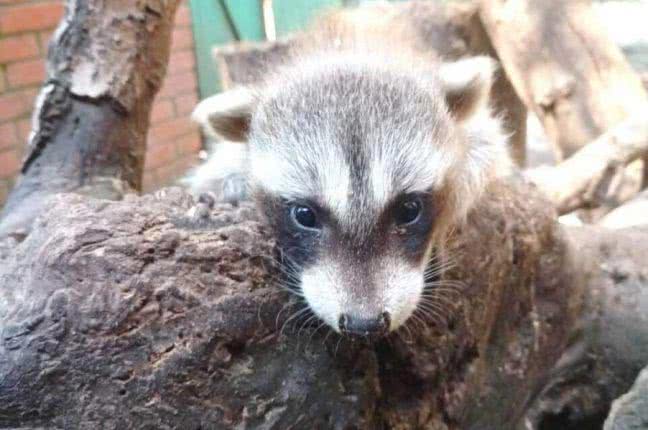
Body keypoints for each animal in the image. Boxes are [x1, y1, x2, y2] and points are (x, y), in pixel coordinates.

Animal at [190, 5, 508, 338]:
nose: (364, 324)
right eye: (305, 215)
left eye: (409, 210)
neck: (347, 49)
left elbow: (487, 152)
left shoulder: (479, 132)